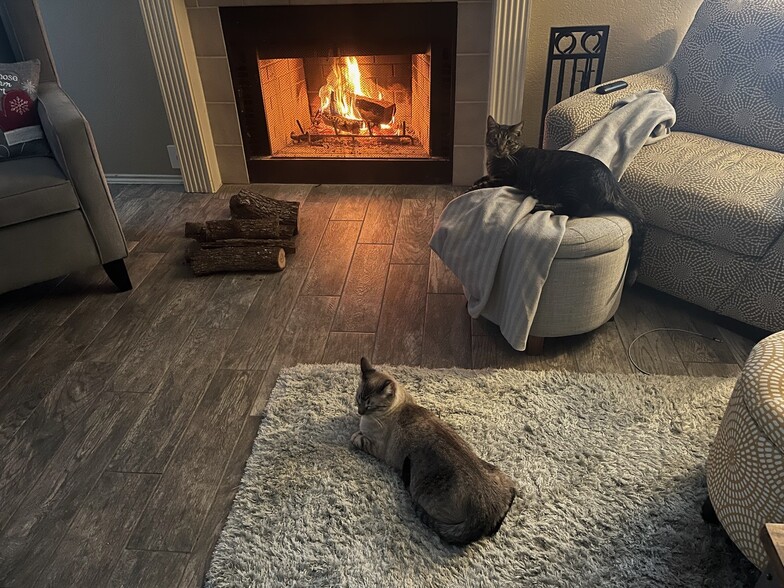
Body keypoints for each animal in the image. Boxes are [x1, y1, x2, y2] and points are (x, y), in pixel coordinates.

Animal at [352, 356, 516, 544]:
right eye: (358, 399)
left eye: (369, 405)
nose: (360, 411)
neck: (399, 406)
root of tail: (486, 512)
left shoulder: (375, 447)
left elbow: (356, 438)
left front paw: (355, 432)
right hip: (500, 474)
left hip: (420, 493)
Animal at [474, 115, 648, 284]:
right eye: (495, 139)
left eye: (509, 142)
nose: (500, 149)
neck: (496, 160)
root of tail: (614, 186)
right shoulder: (492, 175)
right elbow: (481, 179)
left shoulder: (506, 179)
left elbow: (483, 184)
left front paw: (473, 188)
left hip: (568, 186)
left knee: (577, 210)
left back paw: (539, 206)